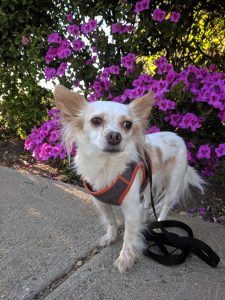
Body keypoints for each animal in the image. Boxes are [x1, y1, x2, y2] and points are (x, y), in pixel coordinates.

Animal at [53, 84, 205, 272]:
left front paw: (126, 257)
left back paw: (159, 226)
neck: (106, 165)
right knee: (146, 201)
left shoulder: (131, 208)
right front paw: (111, 237)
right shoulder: (101, 202)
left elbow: (129, 235)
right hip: (148, 182)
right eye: (96, 120)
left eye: (127, 124)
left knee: (165, 208)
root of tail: (178, 137)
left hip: (173, 185)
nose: (115, 136)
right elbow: (111, 222)